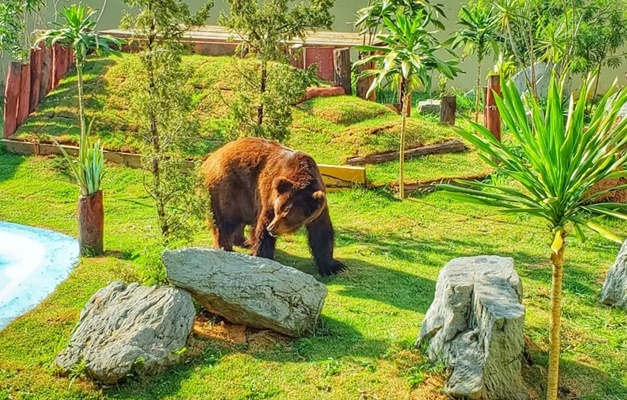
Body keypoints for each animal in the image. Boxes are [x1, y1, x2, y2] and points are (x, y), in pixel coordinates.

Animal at [202, 137, 346, 276]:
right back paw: (225, 247)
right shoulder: (269, 195)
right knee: (225, 221)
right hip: (228, 188)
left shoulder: (318, 207)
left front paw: (333, 267)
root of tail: (212, 155)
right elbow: (262, 226)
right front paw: (262, 256)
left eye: (287, 215)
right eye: (278, 211)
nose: (271, 228)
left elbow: (321, 232)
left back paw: (242, 241)